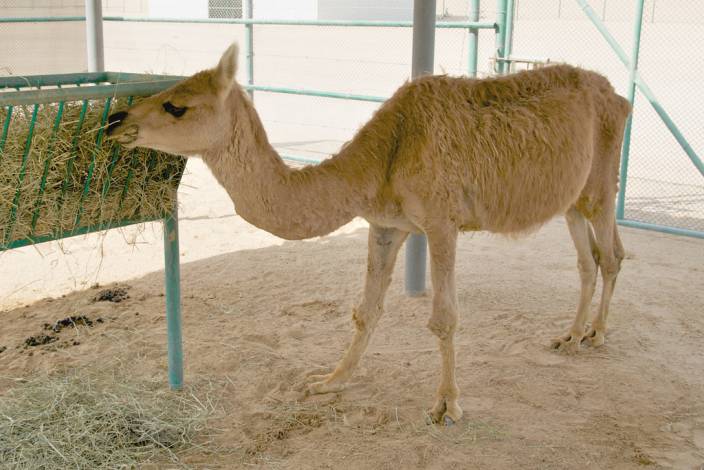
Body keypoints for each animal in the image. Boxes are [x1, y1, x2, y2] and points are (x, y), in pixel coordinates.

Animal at [107, 43, 631, 425]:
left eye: (176, 105)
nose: (116, 121)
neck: (383, 156)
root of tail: (620, 97)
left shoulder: (441, 223)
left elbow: (444, 318)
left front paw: (447, 405)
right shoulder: (387, 224)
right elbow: (366, 311)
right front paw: (328, 381)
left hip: (601, 183)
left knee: (611, 254)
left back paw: (598, 335)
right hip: (572, 199)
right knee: (588, 259)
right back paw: (570, 335)